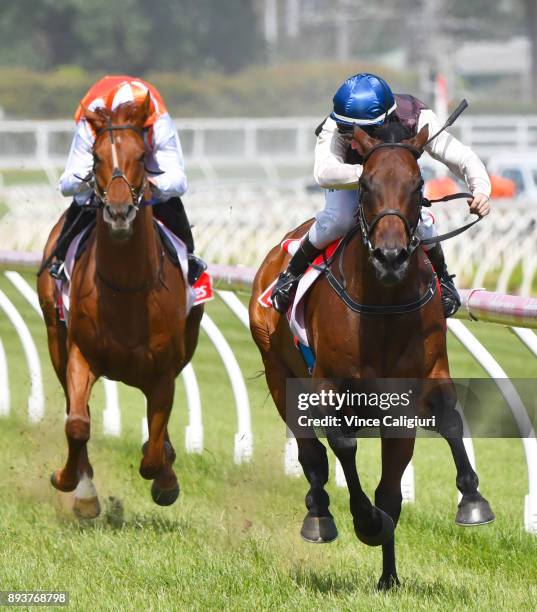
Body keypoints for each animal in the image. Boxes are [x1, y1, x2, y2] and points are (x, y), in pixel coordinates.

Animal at [36, 95, 202, 516]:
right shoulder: (81, 355)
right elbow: (77, 424)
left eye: (142, 155)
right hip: (55, 336)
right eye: (95, 156)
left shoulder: (164, 371)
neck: (127, 290)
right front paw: (75, 486)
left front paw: (166, 479)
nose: (118, 212)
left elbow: (154, 454)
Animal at [249, 125, 492, 592]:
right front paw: (365, 522)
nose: (391, 257)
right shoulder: (328, 386)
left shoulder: (420, 382)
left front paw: (471, 501)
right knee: (312, 456)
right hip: (278, 373)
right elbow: (342, 446)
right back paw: (319, 515)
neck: (384, 302)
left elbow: (441, 432)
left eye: (419, 186)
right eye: (363, 185)